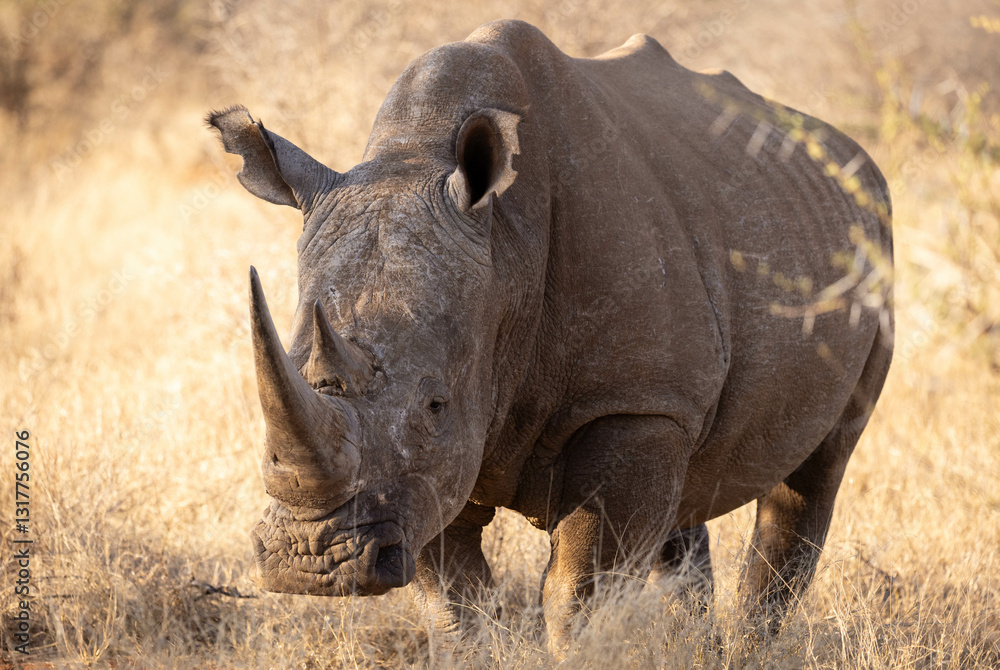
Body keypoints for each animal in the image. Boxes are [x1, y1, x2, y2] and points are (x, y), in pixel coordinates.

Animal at [209, 20, 892, 651]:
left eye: (435, 404)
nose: (309, 563)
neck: (506, 245)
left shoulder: (627, 403)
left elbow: (578, 597)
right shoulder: (423, 474)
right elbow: (456, 603)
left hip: (869, 242)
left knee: (815, 473)